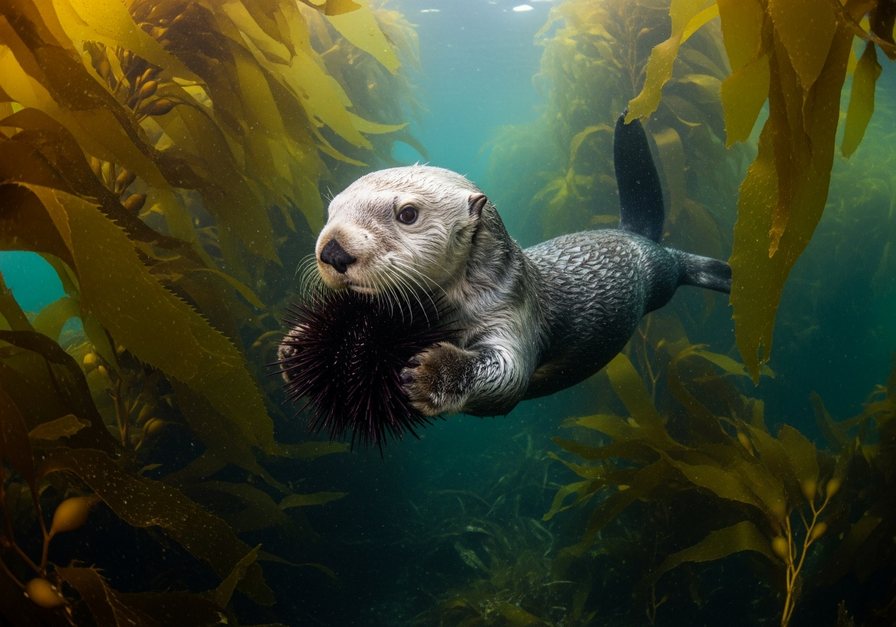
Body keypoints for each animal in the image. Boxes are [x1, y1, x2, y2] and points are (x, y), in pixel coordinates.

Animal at [306, 113, 731, 418]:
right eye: (330, 210)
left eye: (407, 213)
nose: (333, 251)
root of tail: (632, 233)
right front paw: (295, 341)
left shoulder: (513, 317)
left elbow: (508, 377)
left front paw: (433, 374)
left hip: (659, 273)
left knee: (676, 264)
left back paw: (722, 273)